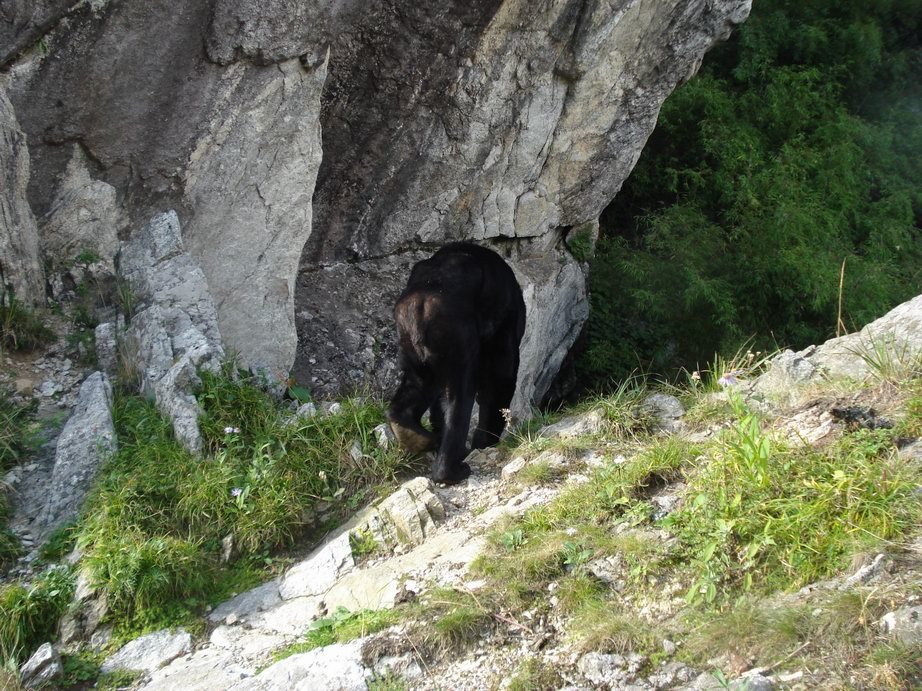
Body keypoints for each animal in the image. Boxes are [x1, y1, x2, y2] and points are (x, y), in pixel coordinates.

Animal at [386, 243, 524, 486]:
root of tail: (419, 304)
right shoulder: (503, 325)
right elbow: (501, 376)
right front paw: (486, 439)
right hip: (454, 333)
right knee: (460, 396)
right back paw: (451, 470)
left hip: (410, 342)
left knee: (418, 385)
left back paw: (411, 432)